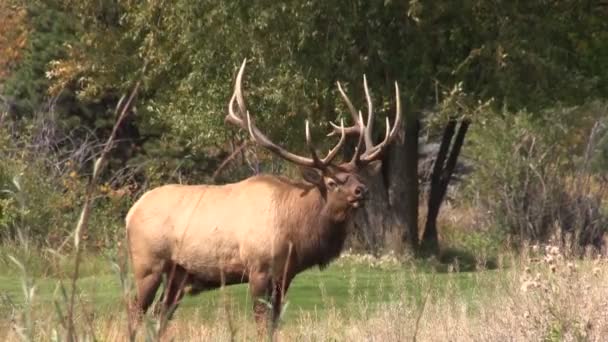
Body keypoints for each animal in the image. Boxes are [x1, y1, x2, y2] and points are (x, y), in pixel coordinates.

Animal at [125, 58, 402, 328]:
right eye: (332, 182)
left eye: (359, 176)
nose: (362, 191)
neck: (296, 233)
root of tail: (130, 213)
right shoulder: (258, 267)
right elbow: (261, 320)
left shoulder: (285, 275)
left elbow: (275, 321)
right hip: (147, 262)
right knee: (135, 310)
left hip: (179, 274)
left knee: (160, 314)